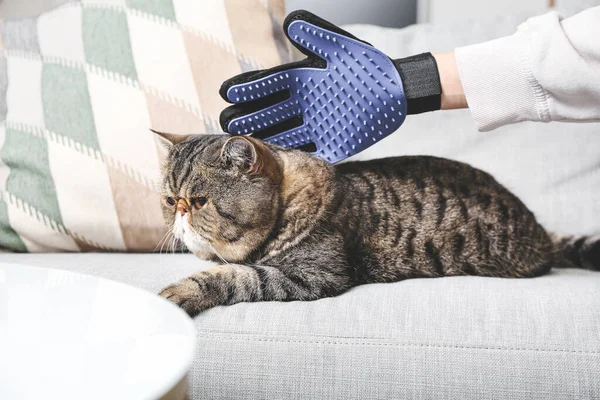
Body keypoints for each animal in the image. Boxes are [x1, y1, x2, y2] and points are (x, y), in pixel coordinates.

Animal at [156, 134, 600, 316]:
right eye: (169, 200)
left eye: (199, 201)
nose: (180, 212)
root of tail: (542, 235)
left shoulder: (315, 275)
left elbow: (235, 276)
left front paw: (182, 290)